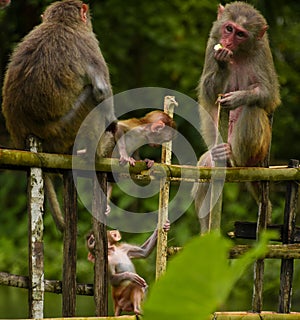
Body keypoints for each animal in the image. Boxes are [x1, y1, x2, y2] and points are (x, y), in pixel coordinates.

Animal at [2, 0, 122, 230]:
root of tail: (24, 136)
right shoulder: (89, 45)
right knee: (91, 96)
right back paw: (96, 153)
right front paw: (115, 127)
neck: (61, 22)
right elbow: (101, 92)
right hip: (65, 131)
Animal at [192, 1, 282, 234]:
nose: (227, 42)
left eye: (240, 34)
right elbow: (208, 93)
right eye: (229, 29)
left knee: (253, 109)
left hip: (258, 152)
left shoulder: (262, 52)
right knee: (207, 166)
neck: (239, 53)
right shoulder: (211, 43)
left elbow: (269, 96)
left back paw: (234, 157)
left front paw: (240, 96)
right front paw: (222, 64)